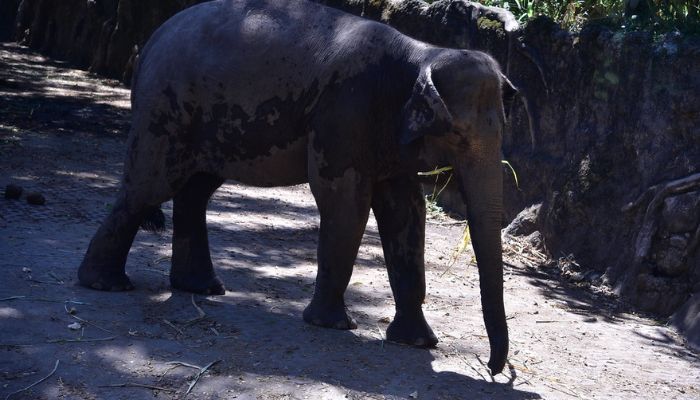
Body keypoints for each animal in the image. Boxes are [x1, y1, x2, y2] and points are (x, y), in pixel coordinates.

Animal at [78, 0, 516, 376]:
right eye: (457, 135)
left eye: (503, 130)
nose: (493, 368)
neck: (422, 52)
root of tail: (152, 39)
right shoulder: (345, 114)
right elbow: (346, 203)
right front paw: (332, 325)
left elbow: (406, 213)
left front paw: (418, 343)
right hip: (166, 109)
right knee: (148, 187)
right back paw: (105, 284)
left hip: (212, 123)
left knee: (195, 190)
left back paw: (201, 287)